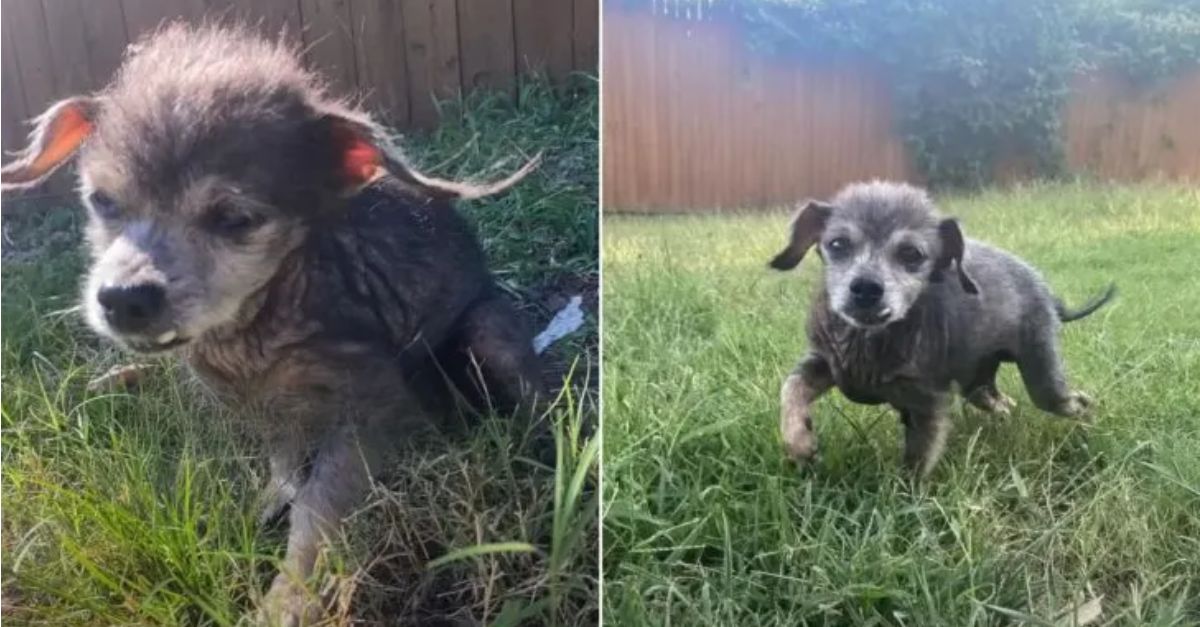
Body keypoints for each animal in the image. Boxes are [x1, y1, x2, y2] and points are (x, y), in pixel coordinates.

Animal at [768, 178, 1113, 473]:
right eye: (837, 244)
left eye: (912, 254)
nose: (865, 288)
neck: (868, 341)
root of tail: (1050, 297)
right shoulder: (823, 364)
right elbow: (791, 388)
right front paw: (799, 441)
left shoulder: (929, 406)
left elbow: (917, 464)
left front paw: (904, 502)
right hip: (977, 384)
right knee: (1001, 402)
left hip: (1045, 381)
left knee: (1079, 402)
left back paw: (1089, 431)